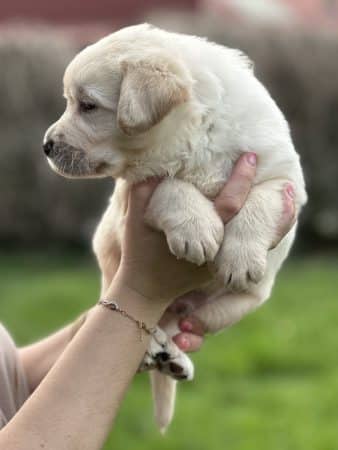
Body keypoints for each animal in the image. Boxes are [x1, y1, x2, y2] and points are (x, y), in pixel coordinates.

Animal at [43, 24, 308, 432]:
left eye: (87, 105)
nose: (46, 145)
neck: (195, 137)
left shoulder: (286, 179)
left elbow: (261, 200)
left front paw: (239, 257)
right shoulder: (135, 191)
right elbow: (170, 185)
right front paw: (196, 229)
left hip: (231, 307)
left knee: (175, 320)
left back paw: (174, 358)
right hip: (110, 264)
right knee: (136, 314)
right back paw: (160, 352)